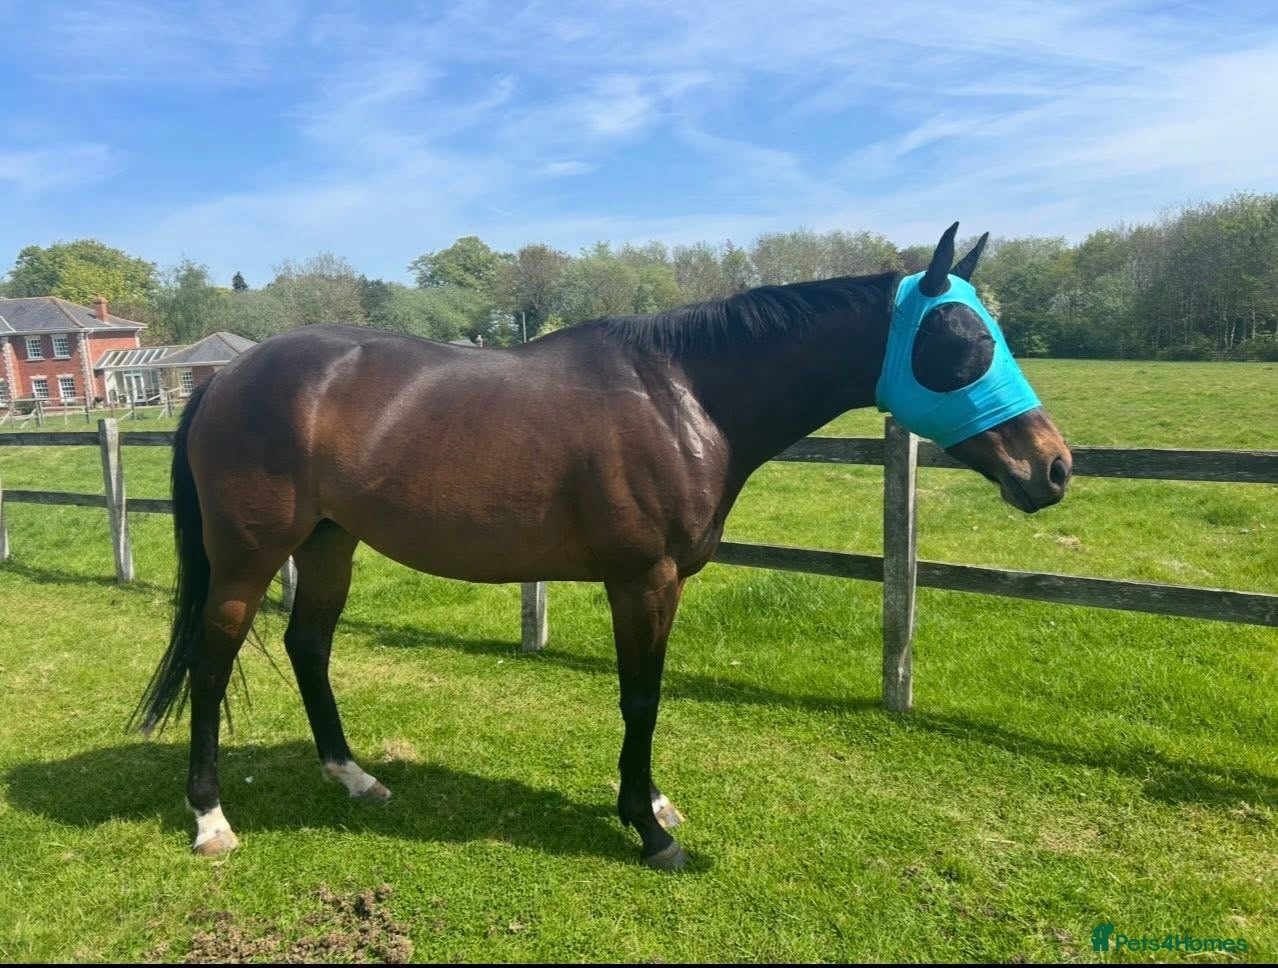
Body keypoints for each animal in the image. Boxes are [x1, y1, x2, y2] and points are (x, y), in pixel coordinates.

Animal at [134, 223, 1071, 871]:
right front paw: (648, 831)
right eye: (964, 343)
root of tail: (228, 376)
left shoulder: (662, 584)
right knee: (214, 664)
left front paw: (651, 802)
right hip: (249, 557)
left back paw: (352, 775)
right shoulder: (643, 580)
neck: (683, 396)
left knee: (309, 645)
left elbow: (644, 694)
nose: (1053, 467)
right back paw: (210, 819)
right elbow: (641, 697)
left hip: (330, 545)